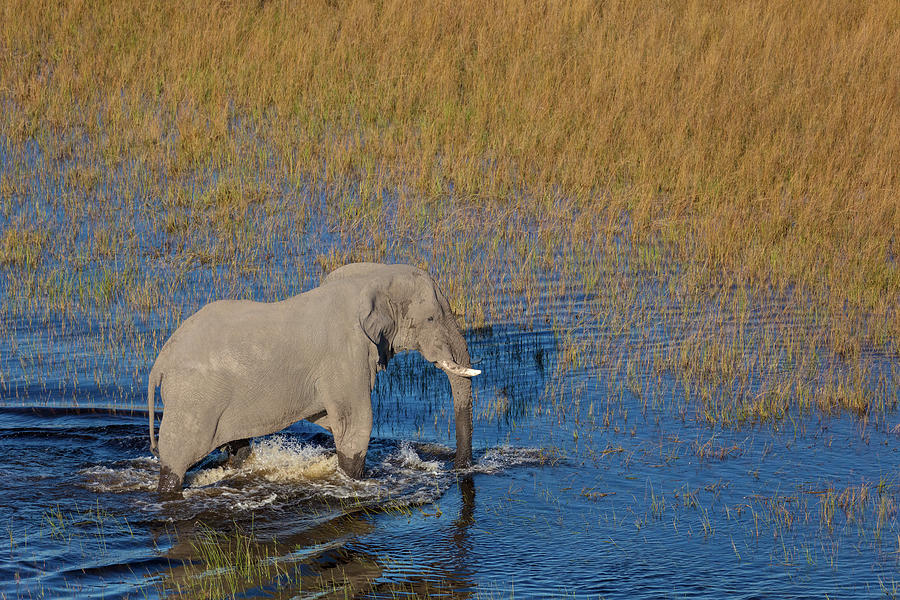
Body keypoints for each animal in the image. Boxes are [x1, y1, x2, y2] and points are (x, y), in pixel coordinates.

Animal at [145, 264, 482, 494]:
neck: (372, 278)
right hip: (193, 401)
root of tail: (159, 363)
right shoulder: (347, 354)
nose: (459, 467)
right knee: (176, 459)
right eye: (431, 318)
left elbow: (328, 418)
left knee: (237, 449)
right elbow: (356, 425)